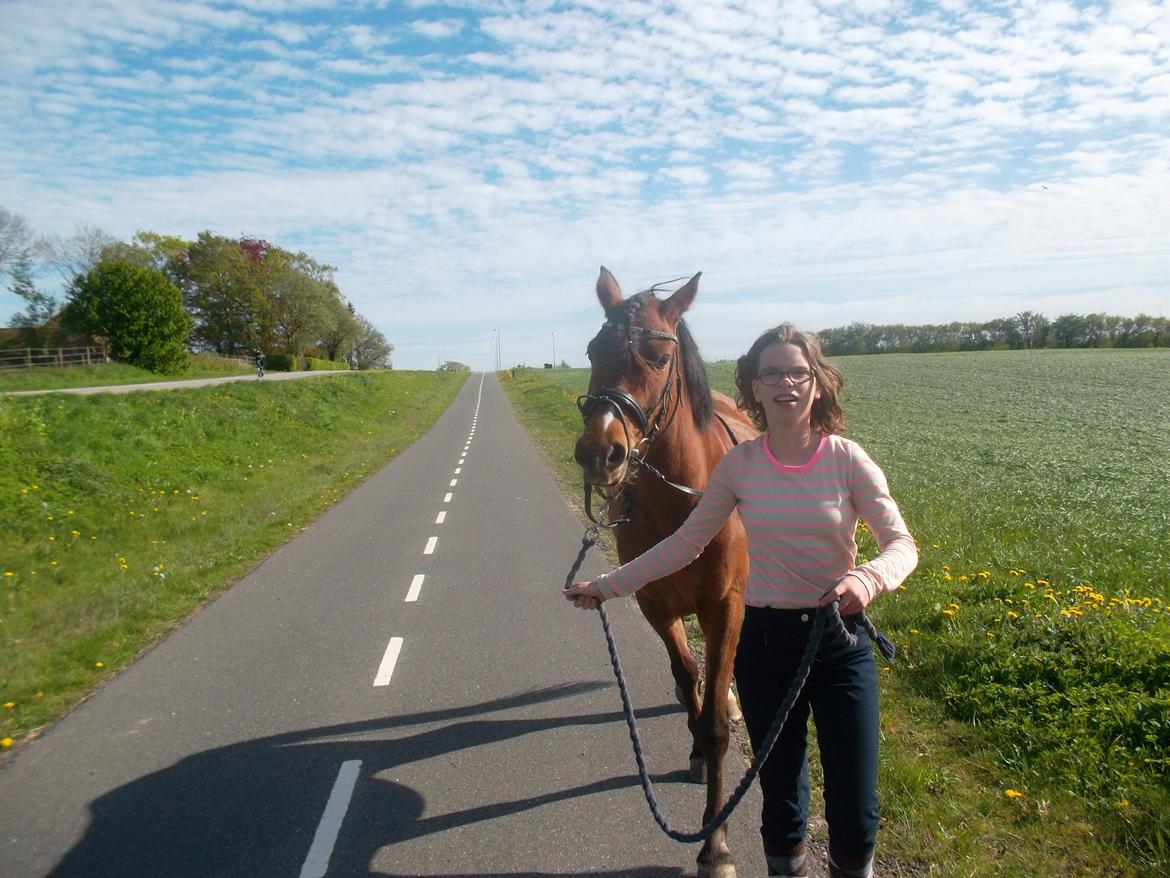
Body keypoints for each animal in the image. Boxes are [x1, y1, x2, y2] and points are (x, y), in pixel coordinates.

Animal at [574, 267, 757, 878]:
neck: (682, 501)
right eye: (593, 351)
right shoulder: (654, 603)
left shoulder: (725, 605)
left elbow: (717, 721)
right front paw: (696, 749)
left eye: (657, 357)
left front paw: (716, 845)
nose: (600, 453)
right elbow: (686, 675)